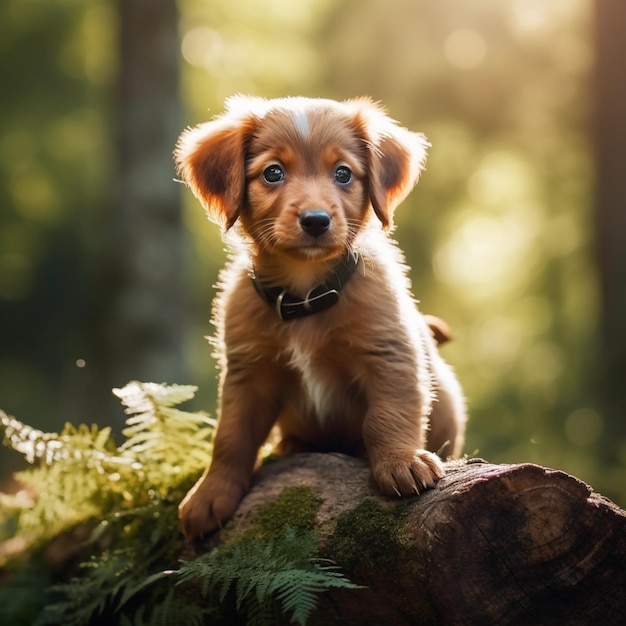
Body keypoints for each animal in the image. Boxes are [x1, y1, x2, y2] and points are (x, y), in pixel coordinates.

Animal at [173, 96, 466, 536]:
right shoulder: (247, 372)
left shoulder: (389, 354)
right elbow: (231, 437)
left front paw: (400, 461)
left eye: (343, 173)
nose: (315, 220)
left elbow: (388, 414)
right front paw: (211, 493)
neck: (306, 294)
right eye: (273, 173)